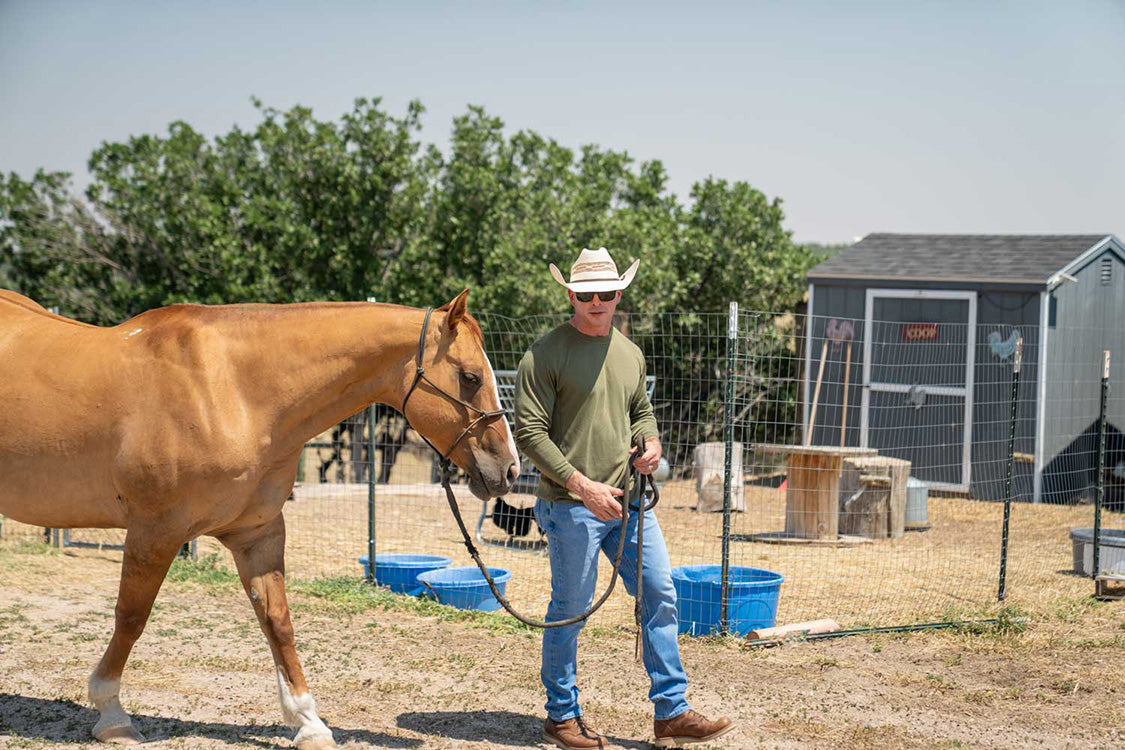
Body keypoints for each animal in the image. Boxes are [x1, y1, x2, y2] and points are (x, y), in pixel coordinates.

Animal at [0, 288, 519, 749]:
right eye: (471, 377)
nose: (510, 469)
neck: (233, 391)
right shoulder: (155, 530)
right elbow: (131, 617)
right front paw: (112, 716)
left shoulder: (257, 534)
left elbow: (278, 622)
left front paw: (309, 723)